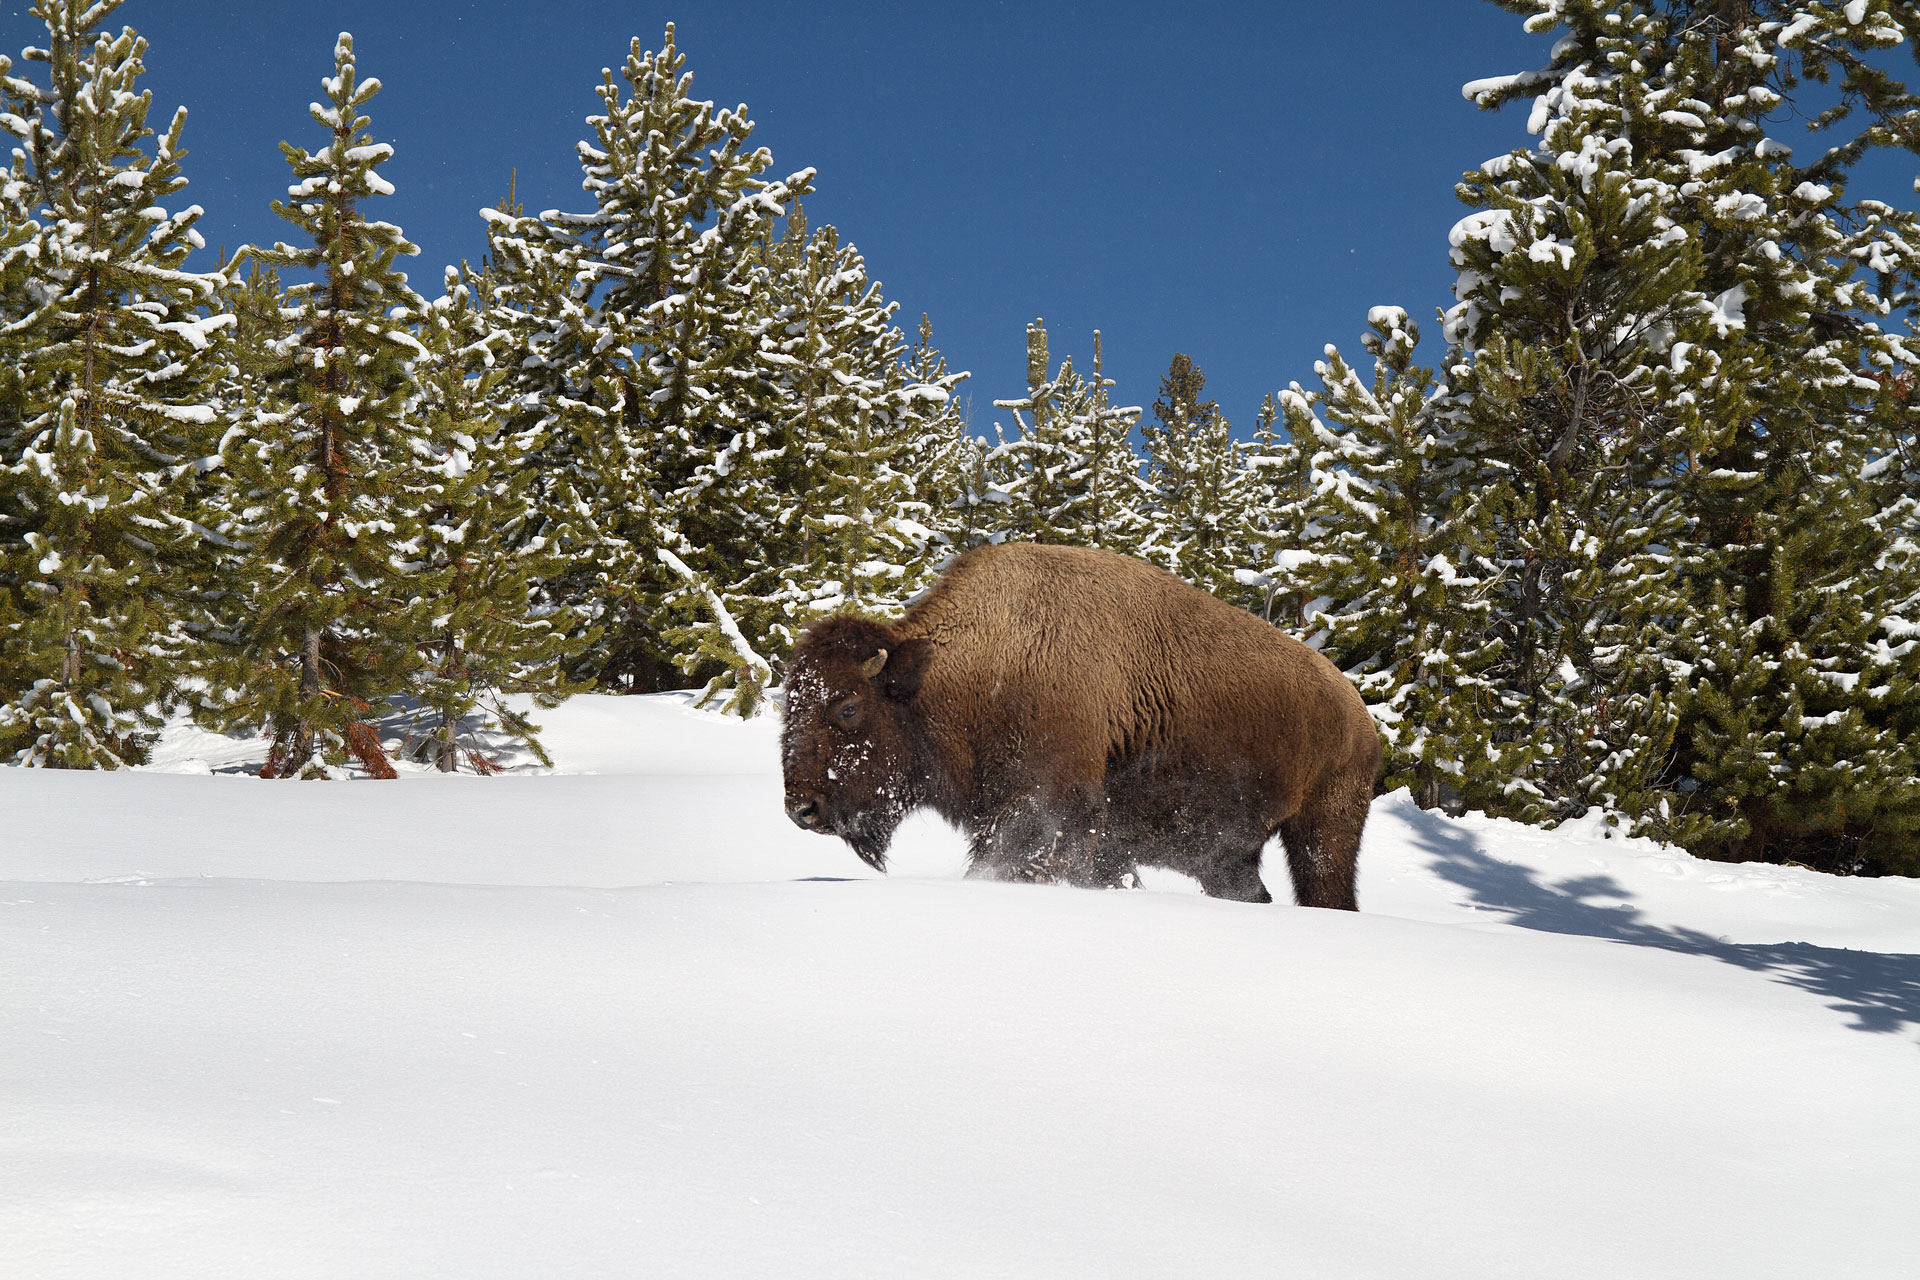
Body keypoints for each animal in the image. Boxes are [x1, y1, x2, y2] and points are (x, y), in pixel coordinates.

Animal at [779, 541, 1382, 909]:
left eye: (848, 707)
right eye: (791, 702)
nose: (800, 807)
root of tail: (1358, 712)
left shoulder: (1043, 819)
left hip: (1324, 827)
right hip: (1229, 854)